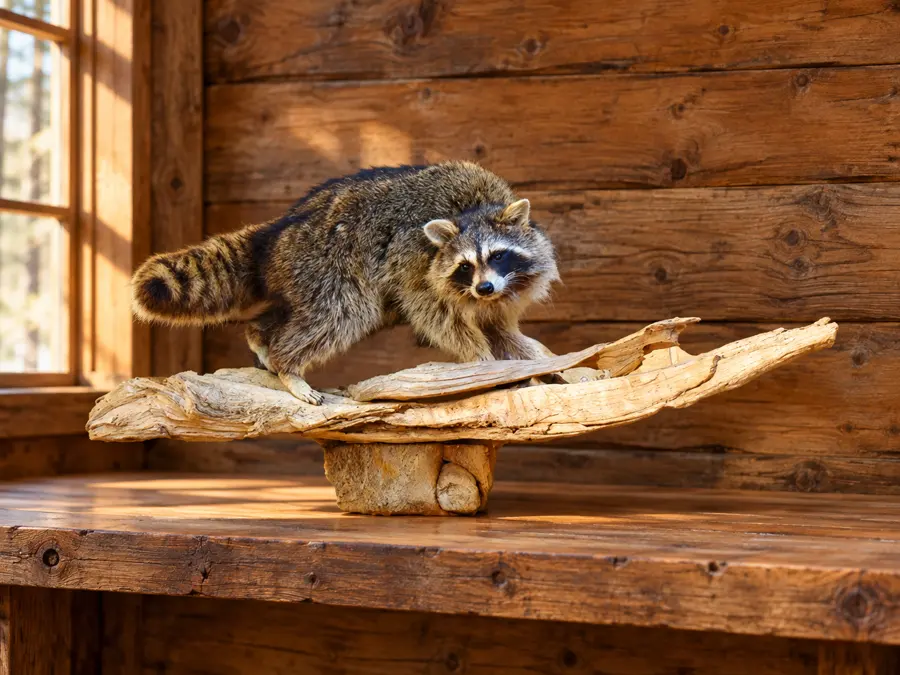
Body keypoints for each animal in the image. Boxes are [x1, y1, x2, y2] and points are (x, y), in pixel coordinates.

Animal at [132, 161, 560, 404]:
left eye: (498, 256)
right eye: (466, 266)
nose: (483, 289)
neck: (474, 208)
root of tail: (278, 229)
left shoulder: (502, 289)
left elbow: (501, 328)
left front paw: (532, 355)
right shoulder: (413, 259)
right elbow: (433, 312)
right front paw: (481, 360)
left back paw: (262, 335)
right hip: (326, 261)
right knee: (341, 314)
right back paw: (288, 363)